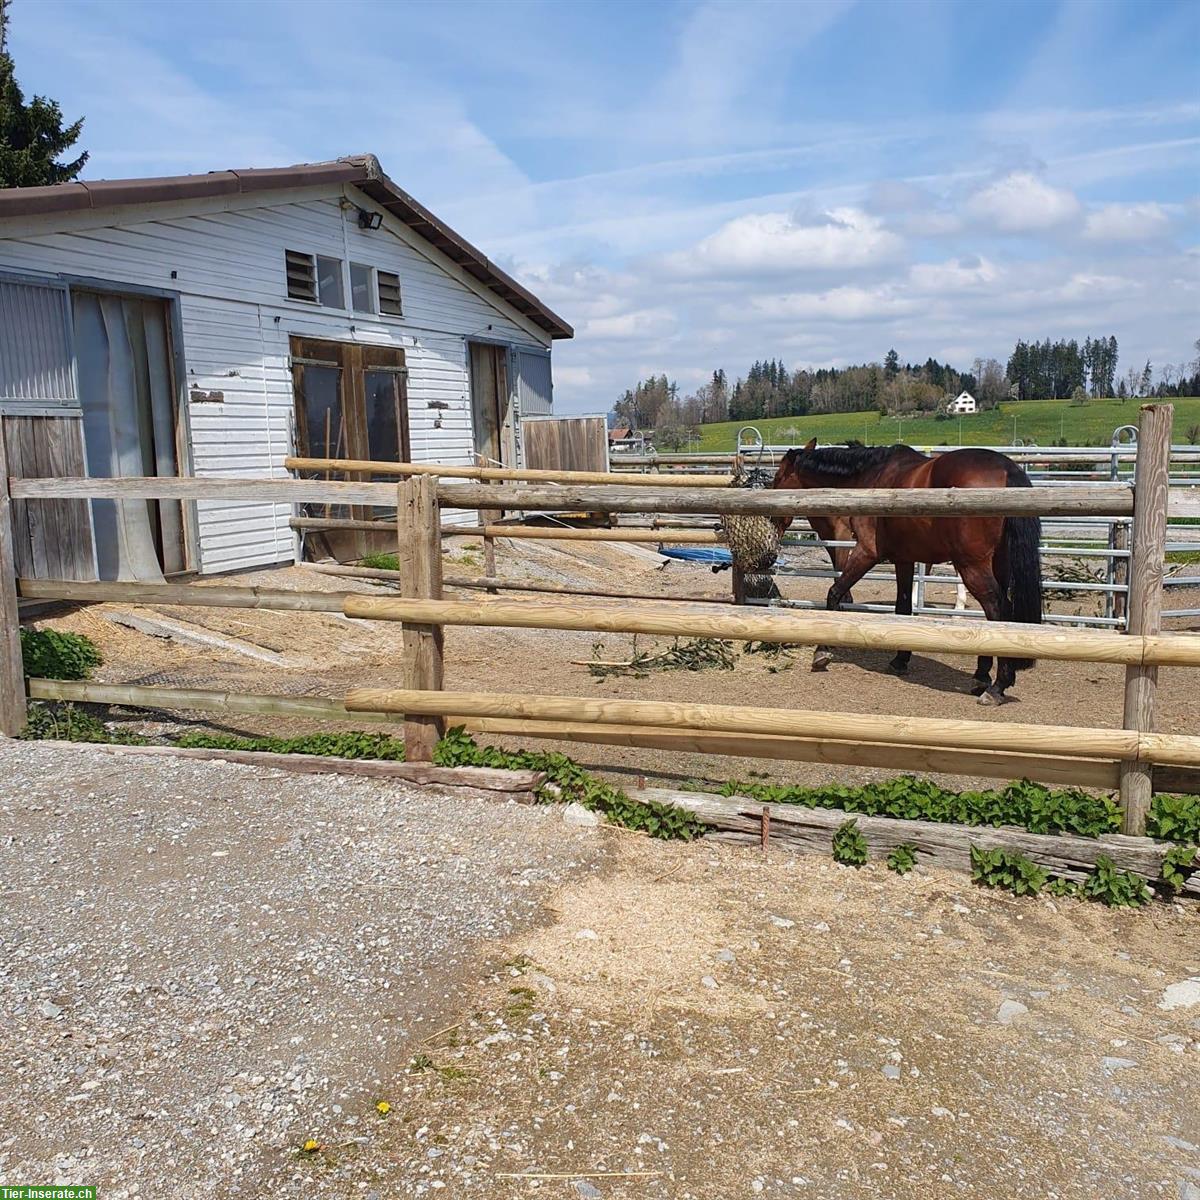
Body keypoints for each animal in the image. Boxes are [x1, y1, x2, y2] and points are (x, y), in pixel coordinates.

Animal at [777, 441, 1041, 700]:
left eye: (778, 477)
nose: (776, 521)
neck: (870, 476)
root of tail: (1007, 469)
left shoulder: (866, 551)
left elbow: (834, 592)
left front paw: (822, 652)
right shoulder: (904, 560)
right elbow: (902, 607)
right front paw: (900, 659)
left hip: (972, 567)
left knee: (996, 608)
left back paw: (997, 686)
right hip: (998, 565)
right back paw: (982, 676)